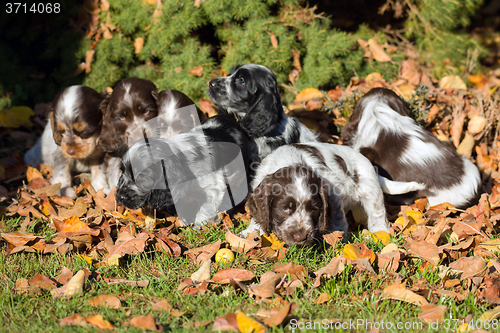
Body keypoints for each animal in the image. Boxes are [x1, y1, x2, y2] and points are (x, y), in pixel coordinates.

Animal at [242, 141, 394, 245]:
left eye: (314, 209)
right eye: (285, 208)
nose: (301, 237)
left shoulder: (334, 193)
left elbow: (337, 219)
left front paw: (335, 239)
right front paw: (250, 232)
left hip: (370, 189)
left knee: (377, 214)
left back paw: (380, 234)